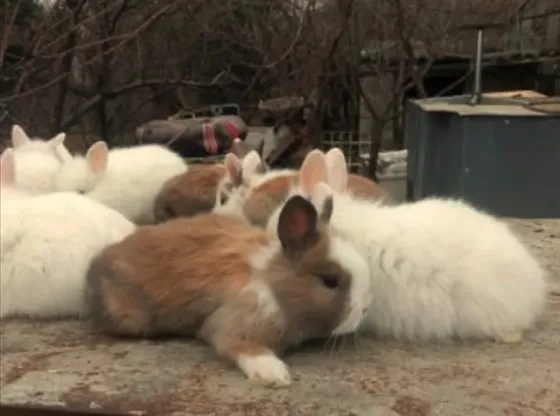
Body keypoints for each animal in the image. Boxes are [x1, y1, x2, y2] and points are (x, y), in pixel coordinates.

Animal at [84, 180, 372, 388]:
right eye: (329, 281)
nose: (364, 310)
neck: (272, 283)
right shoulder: (233, 325)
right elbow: (241, 347)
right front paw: (274, 375)